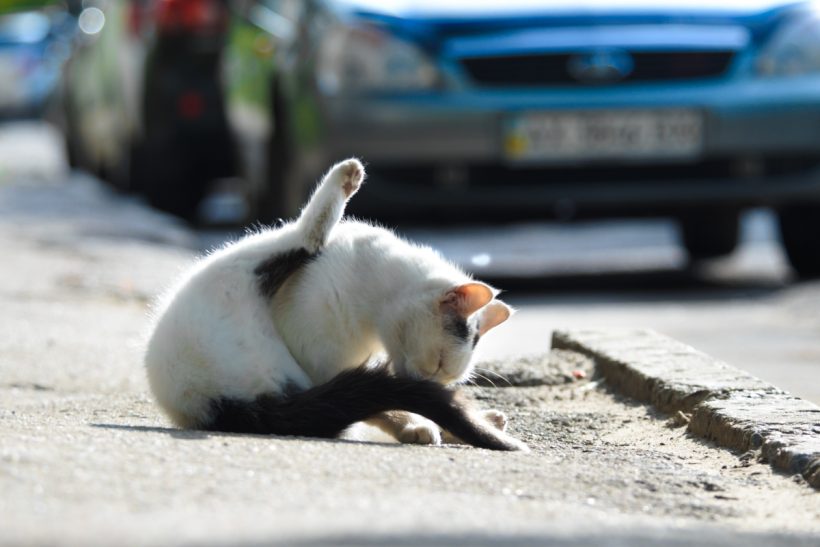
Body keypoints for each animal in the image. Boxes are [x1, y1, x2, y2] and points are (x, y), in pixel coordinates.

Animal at [144, 156, 528, 452]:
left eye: (445, 375)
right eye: (437, 364)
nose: (430, 385)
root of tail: (210, 406)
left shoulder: (335, 368)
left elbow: (378, 400)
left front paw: (437, 421)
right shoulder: (321, 360)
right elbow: (381, 403)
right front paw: (419, 423)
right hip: (243, 275)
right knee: (305, 238)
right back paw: (346, 177)